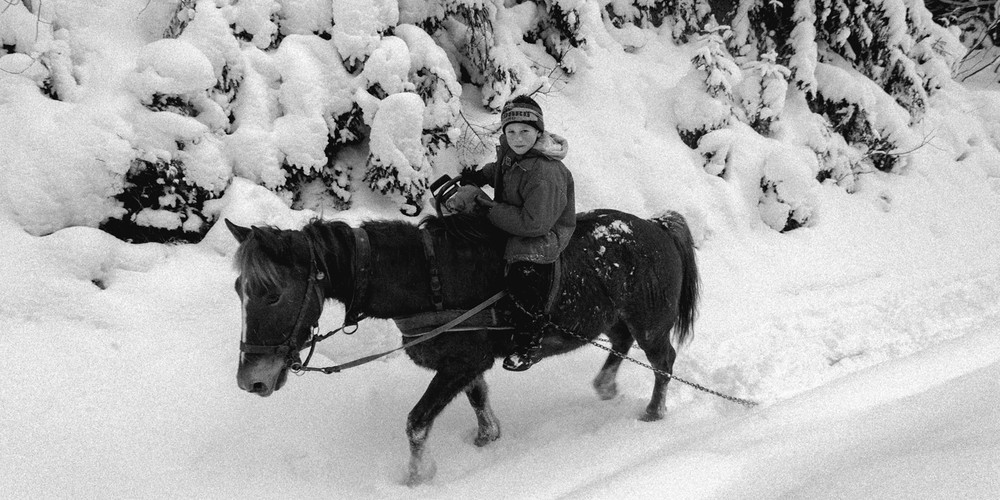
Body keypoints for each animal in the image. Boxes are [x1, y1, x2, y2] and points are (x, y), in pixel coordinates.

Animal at [227, 209, 700, 486]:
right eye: (238, 290)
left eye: (272, 293)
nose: (251, 380)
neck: (426, 276)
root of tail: (657, 226)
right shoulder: (467, 362)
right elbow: (478, 398)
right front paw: (487, 436)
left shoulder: (461, 362)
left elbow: (417, 422)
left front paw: (417, 477)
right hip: (616, 317)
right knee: (620, 343)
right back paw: (605, 386)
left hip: (650, 322)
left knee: (663, 361)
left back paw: (653, 412)